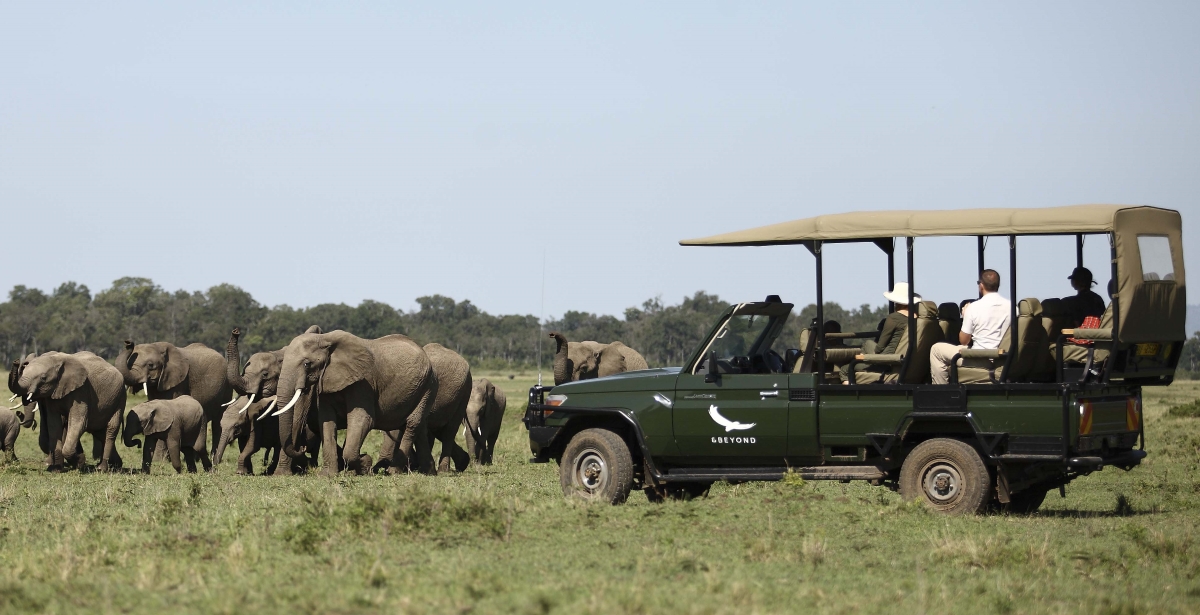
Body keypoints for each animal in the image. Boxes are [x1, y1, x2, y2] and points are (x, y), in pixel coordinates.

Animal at [274, 331, 439, 475]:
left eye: (307, 364)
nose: (302, 448)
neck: (325, 339)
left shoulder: (363, 383)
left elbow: (363, 419)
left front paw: (365, 463)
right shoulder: (326, 381)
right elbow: (326, 421)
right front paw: (327, 475)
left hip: (428, 386)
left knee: (412, 423)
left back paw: (393, 471)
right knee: (418, 426)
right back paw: (429, 472)